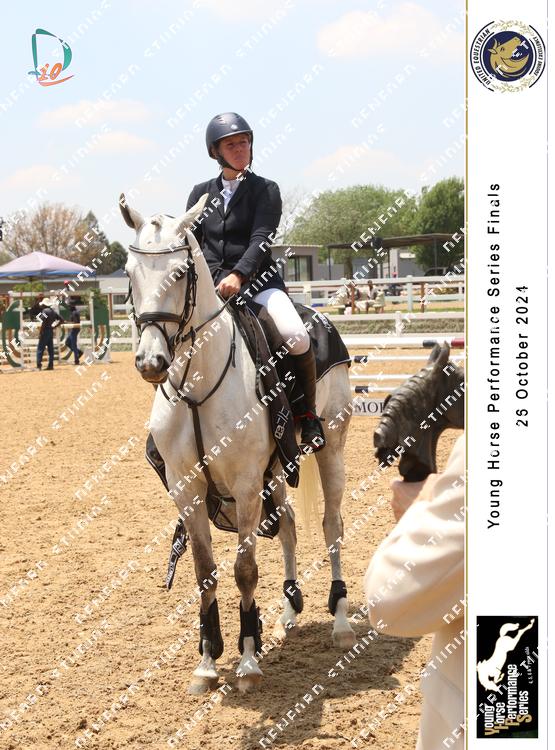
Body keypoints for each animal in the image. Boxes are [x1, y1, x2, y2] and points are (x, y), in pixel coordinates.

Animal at [119, 192, 356, 694]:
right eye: (129, 273)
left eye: (180, 273)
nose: (151, 362)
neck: (196, 384)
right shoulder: (188, 490)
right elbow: (204, 573)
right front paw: (208, 661)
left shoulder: (245, 487)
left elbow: (244, 571)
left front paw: (247, 662)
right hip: (278, 471)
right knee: (288, 526)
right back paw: (289, 611)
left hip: (331, 449)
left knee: (332, 526)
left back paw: (341, 622)